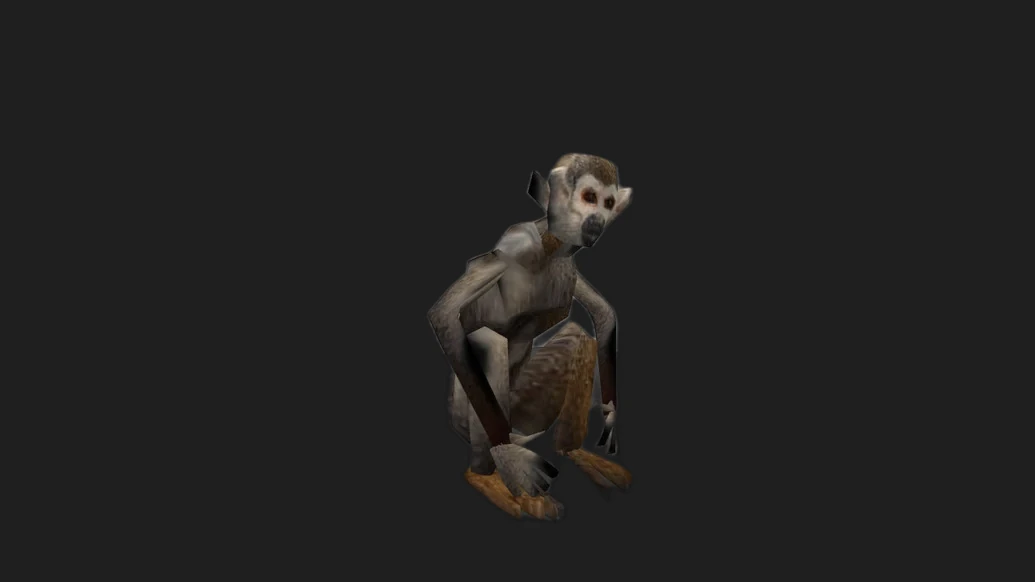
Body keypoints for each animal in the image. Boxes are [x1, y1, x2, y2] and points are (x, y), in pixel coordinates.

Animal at [427, 153, 633, 520]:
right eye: (589, 198)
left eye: (608, 203)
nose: (597, 219)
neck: (554, 247)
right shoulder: (516, 243)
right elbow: (445, 315)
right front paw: (509, 458)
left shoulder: (569, 263)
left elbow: (604, 314)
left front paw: (611, 412)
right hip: (468, 412)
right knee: (490, 341)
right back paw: (488, 473)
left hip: (528, 409)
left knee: (579, 340)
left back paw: (573, 450)